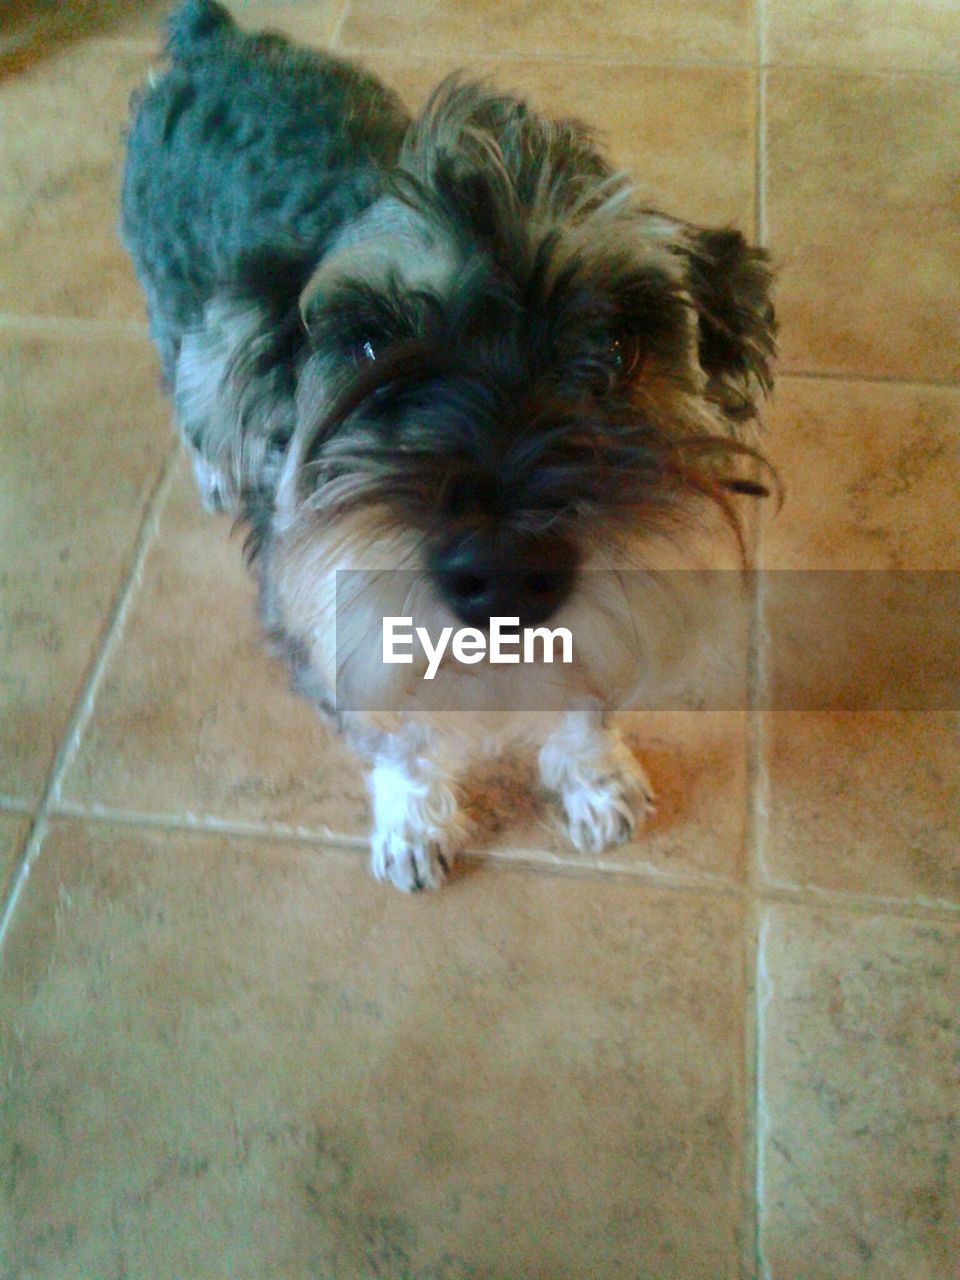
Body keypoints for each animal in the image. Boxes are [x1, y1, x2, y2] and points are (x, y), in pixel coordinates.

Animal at [122, 0, 783, 896]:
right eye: (369, 345)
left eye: (617, 346)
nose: (504, 573)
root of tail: (212, 40)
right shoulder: (323, 626)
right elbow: (397, 736)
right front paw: (412, 822)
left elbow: (585, 699)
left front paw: (595, 779)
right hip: (174, 310)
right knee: (194, 394)